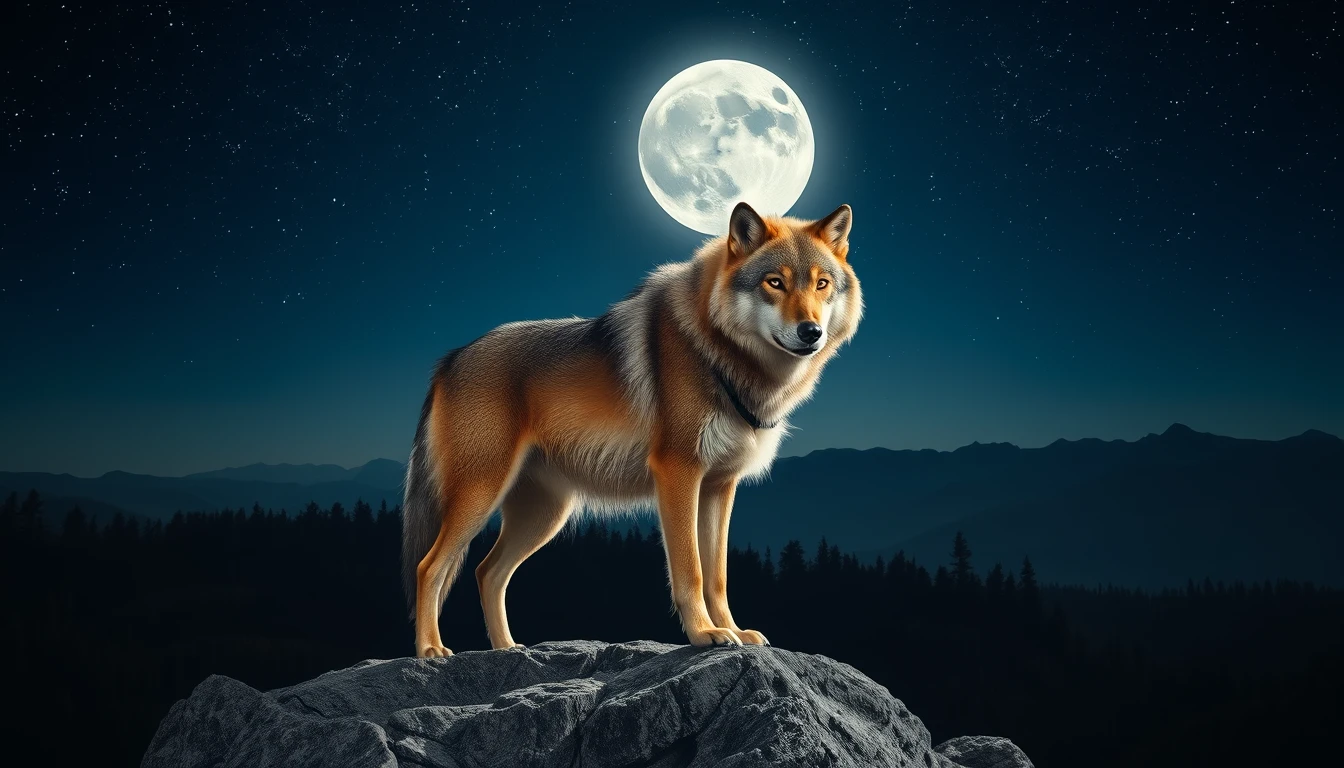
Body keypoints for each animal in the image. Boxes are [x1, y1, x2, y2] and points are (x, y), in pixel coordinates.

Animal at [401, 201, 862, 657]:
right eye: (774, 283)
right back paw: (430, 650)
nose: (811, 332)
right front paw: (704, 634)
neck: (718, 354)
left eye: (821, 284)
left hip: (544, 515)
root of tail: (450, 360)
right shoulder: (677, 473)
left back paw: (507, 649)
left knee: (486, 571)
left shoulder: (719, 486)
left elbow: (718, 576)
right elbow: (691, 570)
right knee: (428, 567)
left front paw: (733, 631)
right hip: (482, 494)